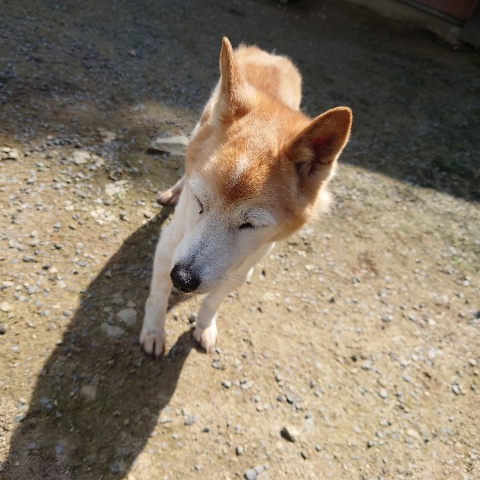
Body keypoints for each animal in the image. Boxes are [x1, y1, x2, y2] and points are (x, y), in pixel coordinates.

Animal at [140, 37, 352, 356]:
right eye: (199, 202)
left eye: (250, 225)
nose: (182, 278)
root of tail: (269, 54)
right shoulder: (170, 245)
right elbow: (158, 294)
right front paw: (154, 332)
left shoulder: (248, 261)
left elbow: (213, 300)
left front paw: (205, 328)